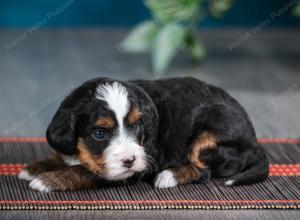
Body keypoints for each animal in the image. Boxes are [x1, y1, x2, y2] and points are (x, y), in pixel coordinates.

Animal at [18, 77, 270, 192]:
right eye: (99, 133)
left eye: (136, 125)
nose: (129, 159)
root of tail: (255, 141)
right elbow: (63, 156)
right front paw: (34, 168)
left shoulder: (132, 168)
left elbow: (84, 171)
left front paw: (47, 180)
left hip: (209, 133)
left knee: (204, 171)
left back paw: (168, 176)